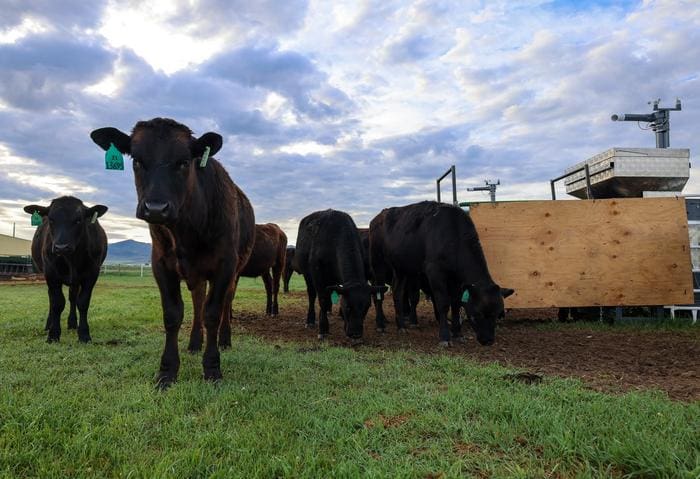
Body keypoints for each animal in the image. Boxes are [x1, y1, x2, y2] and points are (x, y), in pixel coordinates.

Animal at [23, 196, 108, 343]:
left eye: (78, 220)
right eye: (51, 219)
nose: (61, 247)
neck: (71, 259)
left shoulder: (92, 274)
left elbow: (82, 302)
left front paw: (84, 334)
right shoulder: (51, 274)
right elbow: (57, 303)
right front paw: (53, 334)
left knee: (73, 297)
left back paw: (72, 323)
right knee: (51, 298)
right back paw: (49, 324)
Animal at [91, 118, 255, 387]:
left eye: (184, 162)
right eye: (136, 160)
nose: (156, 208)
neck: (187, 231)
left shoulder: (225, 266)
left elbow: (213, 313)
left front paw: (212, 368)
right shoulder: (161, 265)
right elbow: (172, 314)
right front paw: (167, 371)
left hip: (235, 270)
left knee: (224, 303)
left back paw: (224, 340)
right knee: (198, 300)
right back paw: (195, 342)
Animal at [293, 209, 386, 343]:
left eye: (367, 307)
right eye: (348, 307)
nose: (356, 334)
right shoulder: (318, 273)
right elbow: (323, 300)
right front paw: (323, 329)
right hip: (307, 274)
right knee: (312, 295)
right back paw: (310, 320)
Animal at [369, 201, 513, 346]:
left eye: (498, 314)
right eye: (477, 314)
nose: (488, 340)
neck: (453, 235)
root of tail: (378, 217)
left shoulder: (457, 280)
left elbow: (456, 303)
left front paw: (458, 333)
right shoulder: (435, 272)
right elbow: (443, 303)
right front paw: (445, 337)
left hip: (401, 268)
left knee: (397, 292)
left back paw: (401, 326)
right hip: (378, 264)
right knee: (379, 294)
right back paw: (380, 324)